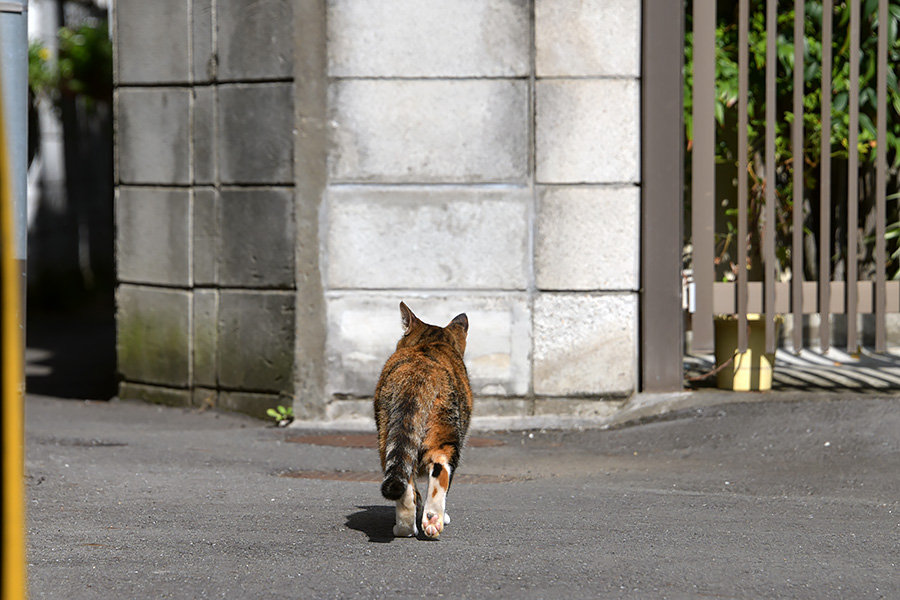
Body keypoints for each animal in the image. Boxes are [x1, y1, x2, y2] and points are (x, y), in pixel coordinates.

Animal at [372, 302, 474, 536]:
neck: (431, 343)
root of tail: (418, 370)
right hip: (447, 430)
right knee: (441, 469)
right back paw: (434, 519)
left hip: (387, 432)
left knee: (406, 481)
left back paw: (407, 528)